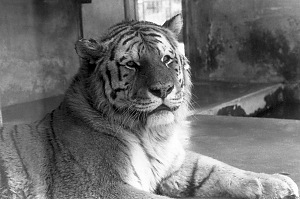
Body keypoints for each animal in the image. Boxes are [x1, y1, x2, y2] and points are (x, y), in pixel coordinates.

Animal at [0, 14, 298, 199]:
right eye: (132, 65)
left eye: (166, 59)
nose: (163, 90)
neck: (153, 134)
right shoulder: (104, 186)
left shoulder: (174, 163)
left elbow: (218, 168)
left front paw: (277, 181)